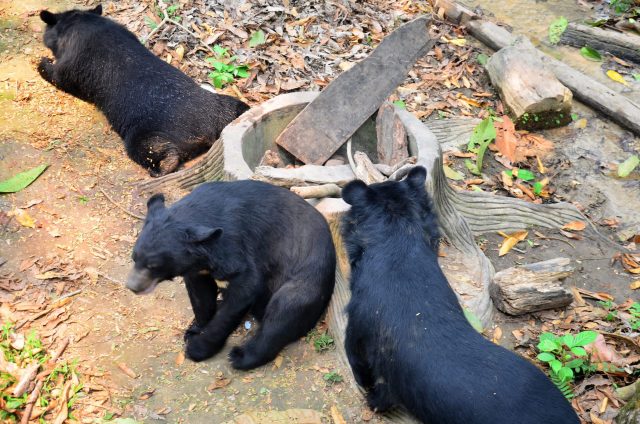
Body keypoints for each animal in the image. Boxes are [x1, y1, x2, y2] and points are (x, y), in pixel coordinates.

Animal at [38, 5, 249, 177]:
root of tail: (207, 132)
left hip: (147, 130)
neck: (83, 23)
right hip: (225, 107)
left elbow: (60, 77)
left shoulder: (75, 62)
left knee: (150, 150)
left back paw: (164, 166)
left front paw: (43, 63)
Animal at [126, 180, 336, 370]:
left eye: (154, 265)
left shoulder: (235, 248)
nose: (132, 286)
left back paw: (240, 356)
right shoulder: (197, 269)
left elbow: (245, 288)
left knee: (282, 315)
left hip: (304, 281)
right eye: (134, 257)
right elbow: (201, 296)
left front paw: (197, 348)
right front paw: (195, 330)